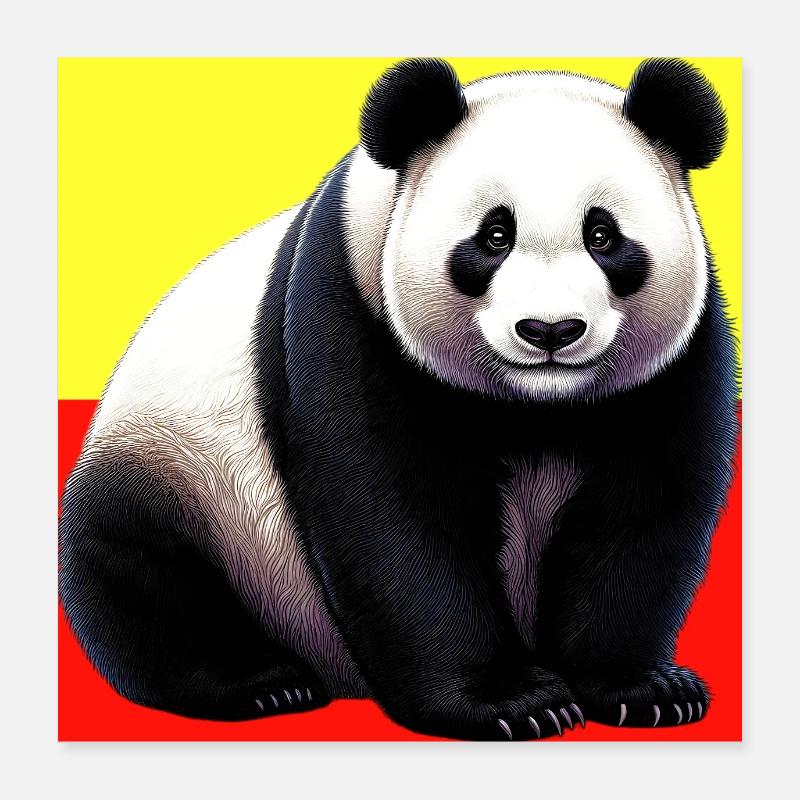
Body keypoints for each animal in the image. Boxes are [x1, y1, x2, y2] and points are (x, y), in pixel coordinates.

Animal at [59, 57, 738, 741]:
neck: (535, 405)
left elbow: (644, 511)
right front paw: (511, 702)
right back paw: (261, 683)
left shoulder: (674, 364)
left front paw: (643, 689)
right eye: (494, 236)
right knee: (141, 574)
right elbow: (394, 515)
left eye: (603, 235)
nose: (550, 330)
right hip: (179, 465)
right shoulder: (351, 311)